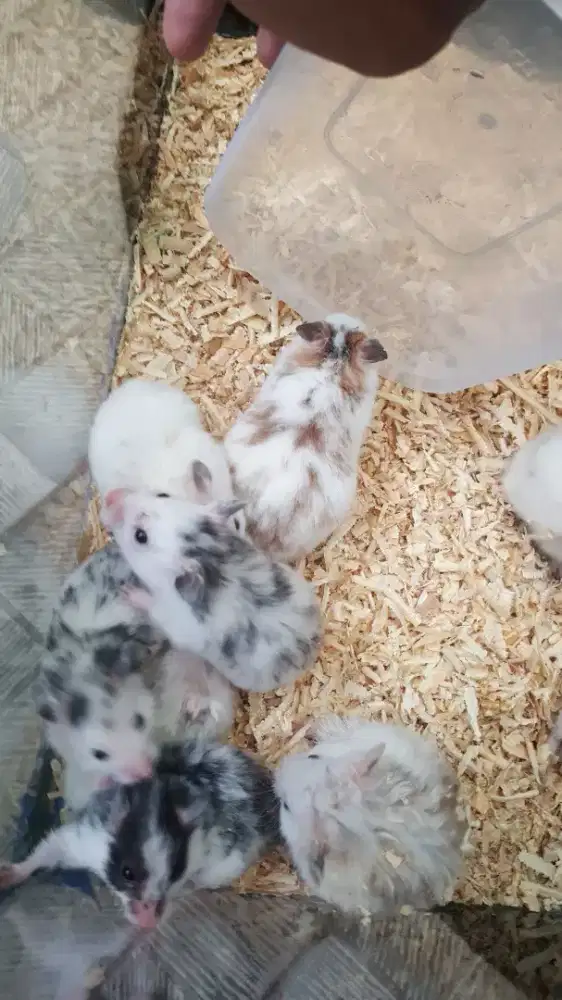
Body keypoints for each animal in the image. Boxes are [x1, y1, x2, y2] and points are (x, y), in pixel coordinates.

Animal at [0, 739, 279, 928]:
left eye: (175, 872)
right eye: (127, 873)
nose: (147, 923)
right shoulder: (81, 841)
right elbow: (43, 853)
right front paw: (5, 876)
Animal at [103, 489, 322, 693]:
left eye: (140, 536)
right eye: (163, 495)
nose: (110, 495)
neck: (212, 558)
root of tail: (313, 650)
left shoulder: (171, 619)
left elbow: (150, 604)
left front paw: (127, 590)